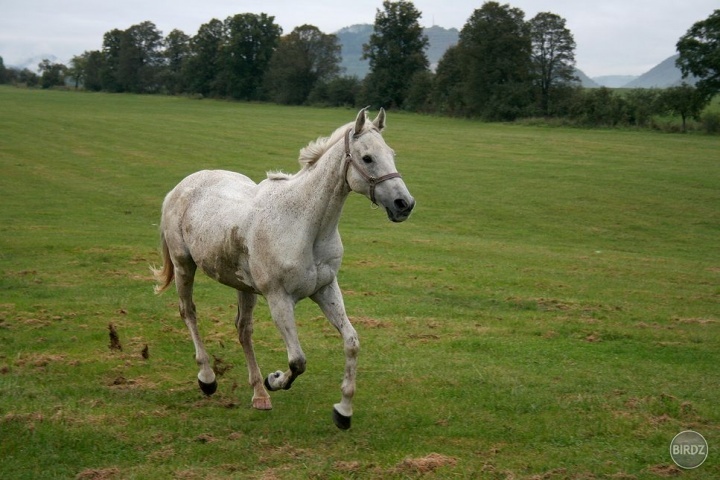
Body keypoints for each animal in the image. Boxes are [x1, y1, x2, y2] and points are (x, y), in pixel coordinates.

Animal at [155, 108, 414, 428]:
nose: (404, 204)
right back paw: (208, 378)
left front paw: (343, 411)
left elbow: (351, 342)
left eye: (391, 154)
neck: (303, 223)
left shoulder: (326, 289)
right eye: (367, 158)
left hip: (243, 286)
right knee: (188, 312)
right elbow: (298, 361)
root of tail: (180, 187)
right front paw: (275, 379)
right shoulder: (279, 299)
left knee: (243, 330)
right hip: (184, 266)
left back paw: (259, 395)